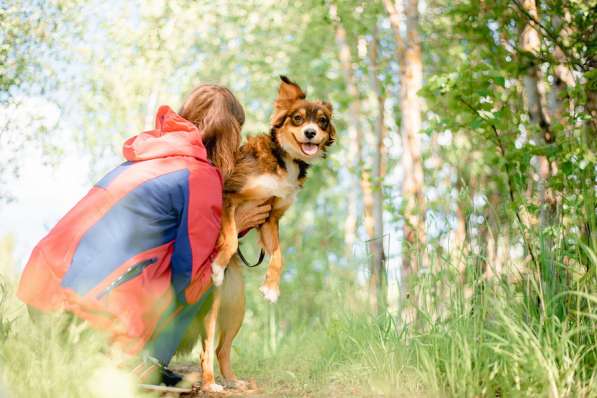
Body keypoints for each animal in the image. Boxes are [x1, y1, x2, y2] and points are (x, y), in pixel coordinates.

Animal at [177, 75, 336, 392]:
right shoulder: (229, 198)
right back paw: (210, 383)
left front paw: (272, 288)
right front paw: (217, 265)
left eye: (322, 121)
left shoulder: (270, 218)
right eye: (298, 118)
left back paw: (232, 381)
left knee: (220, 349)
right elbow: (228, 241)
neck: (283, 160)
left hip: (237, 306)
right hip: (212, 310)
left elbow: (278, 257)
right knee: (206, 350)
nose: (311, 133)